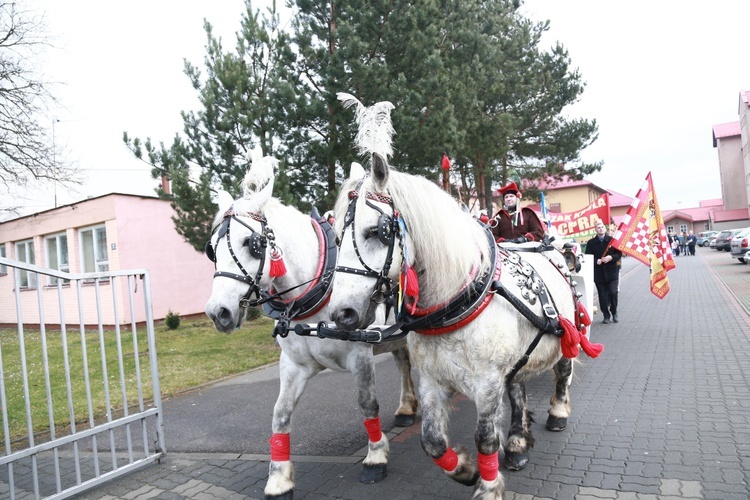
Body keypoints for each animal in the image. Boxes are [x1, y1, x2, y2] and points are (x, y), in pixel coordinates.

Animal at [203, 148, 420, 500]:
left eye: (252, 243)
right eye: (212, 250)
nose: (217, 311)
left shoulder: (361, 356)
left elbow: (367, 405)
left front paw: (375, 456)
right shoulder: (293, 364)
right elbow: (279, 414)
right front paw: (279, 479)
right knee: (402, 362)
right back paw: (406, 408)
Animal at [332, 99, 604, 498]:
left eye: (376, 231)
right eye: (335, 235)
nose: (342, 314)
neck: (455, 301)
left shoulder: (488, 383)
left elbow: (485, 437)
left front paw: (488, 485)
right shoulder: (431, 378)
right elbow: (431, 440)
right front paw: (464, 470)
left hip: (566, 332)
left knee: (563, 371)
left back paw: (557, 413)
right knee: (518, 389)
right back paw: (518, 441)